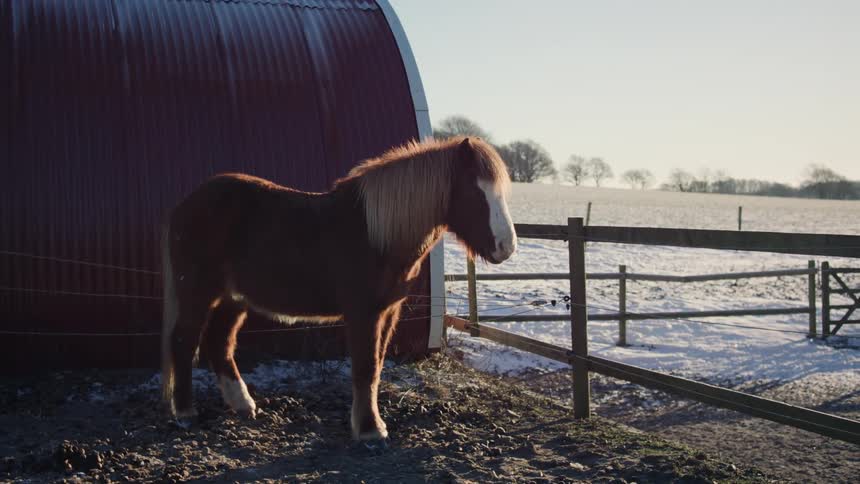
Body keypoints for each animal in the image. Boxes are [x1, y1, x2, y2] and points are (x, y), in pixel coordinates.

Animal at [160, 137, 517, 440]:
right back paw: (186, 413)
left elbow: (375, 366)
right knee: (183, 342)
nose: (506, 247)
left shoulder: (388, 311)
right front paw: (370, 429)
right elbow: (365, 367)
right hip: (198, 292)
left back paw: (243, 405)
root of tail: (185, 205)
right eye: (476, 192)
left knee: (219, 343)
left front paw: (368, 424)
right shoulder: (363, 313)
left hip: (233, 297)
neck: (378, 235)